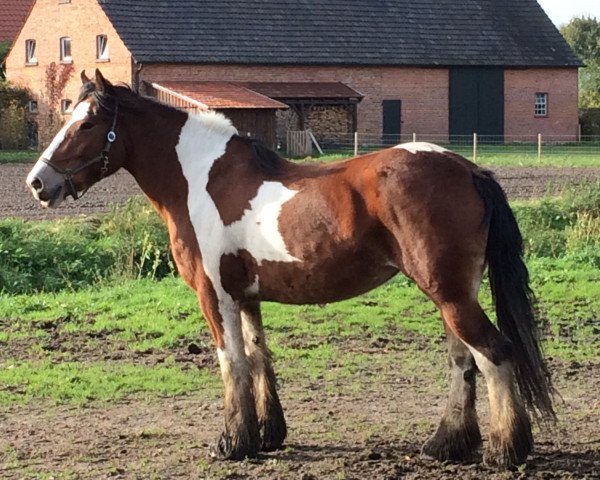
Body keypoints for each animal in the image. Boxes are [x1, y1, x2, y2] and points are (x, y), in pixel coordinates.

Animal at [27, 69, 552, 466]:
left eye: (87, 124)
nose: (37, 183)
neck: (200, 178)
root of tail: (470, 170)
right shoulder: (247, 297)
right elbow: (259, 357)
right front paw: (267, 435)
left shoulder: (215, 296)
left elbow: (231, 362)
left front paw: (233, 443)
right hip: (454, 294)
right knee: (462, 360)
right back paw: (446, 445)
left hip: (450, 295)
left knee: (494, 354)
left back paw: (505, 452)